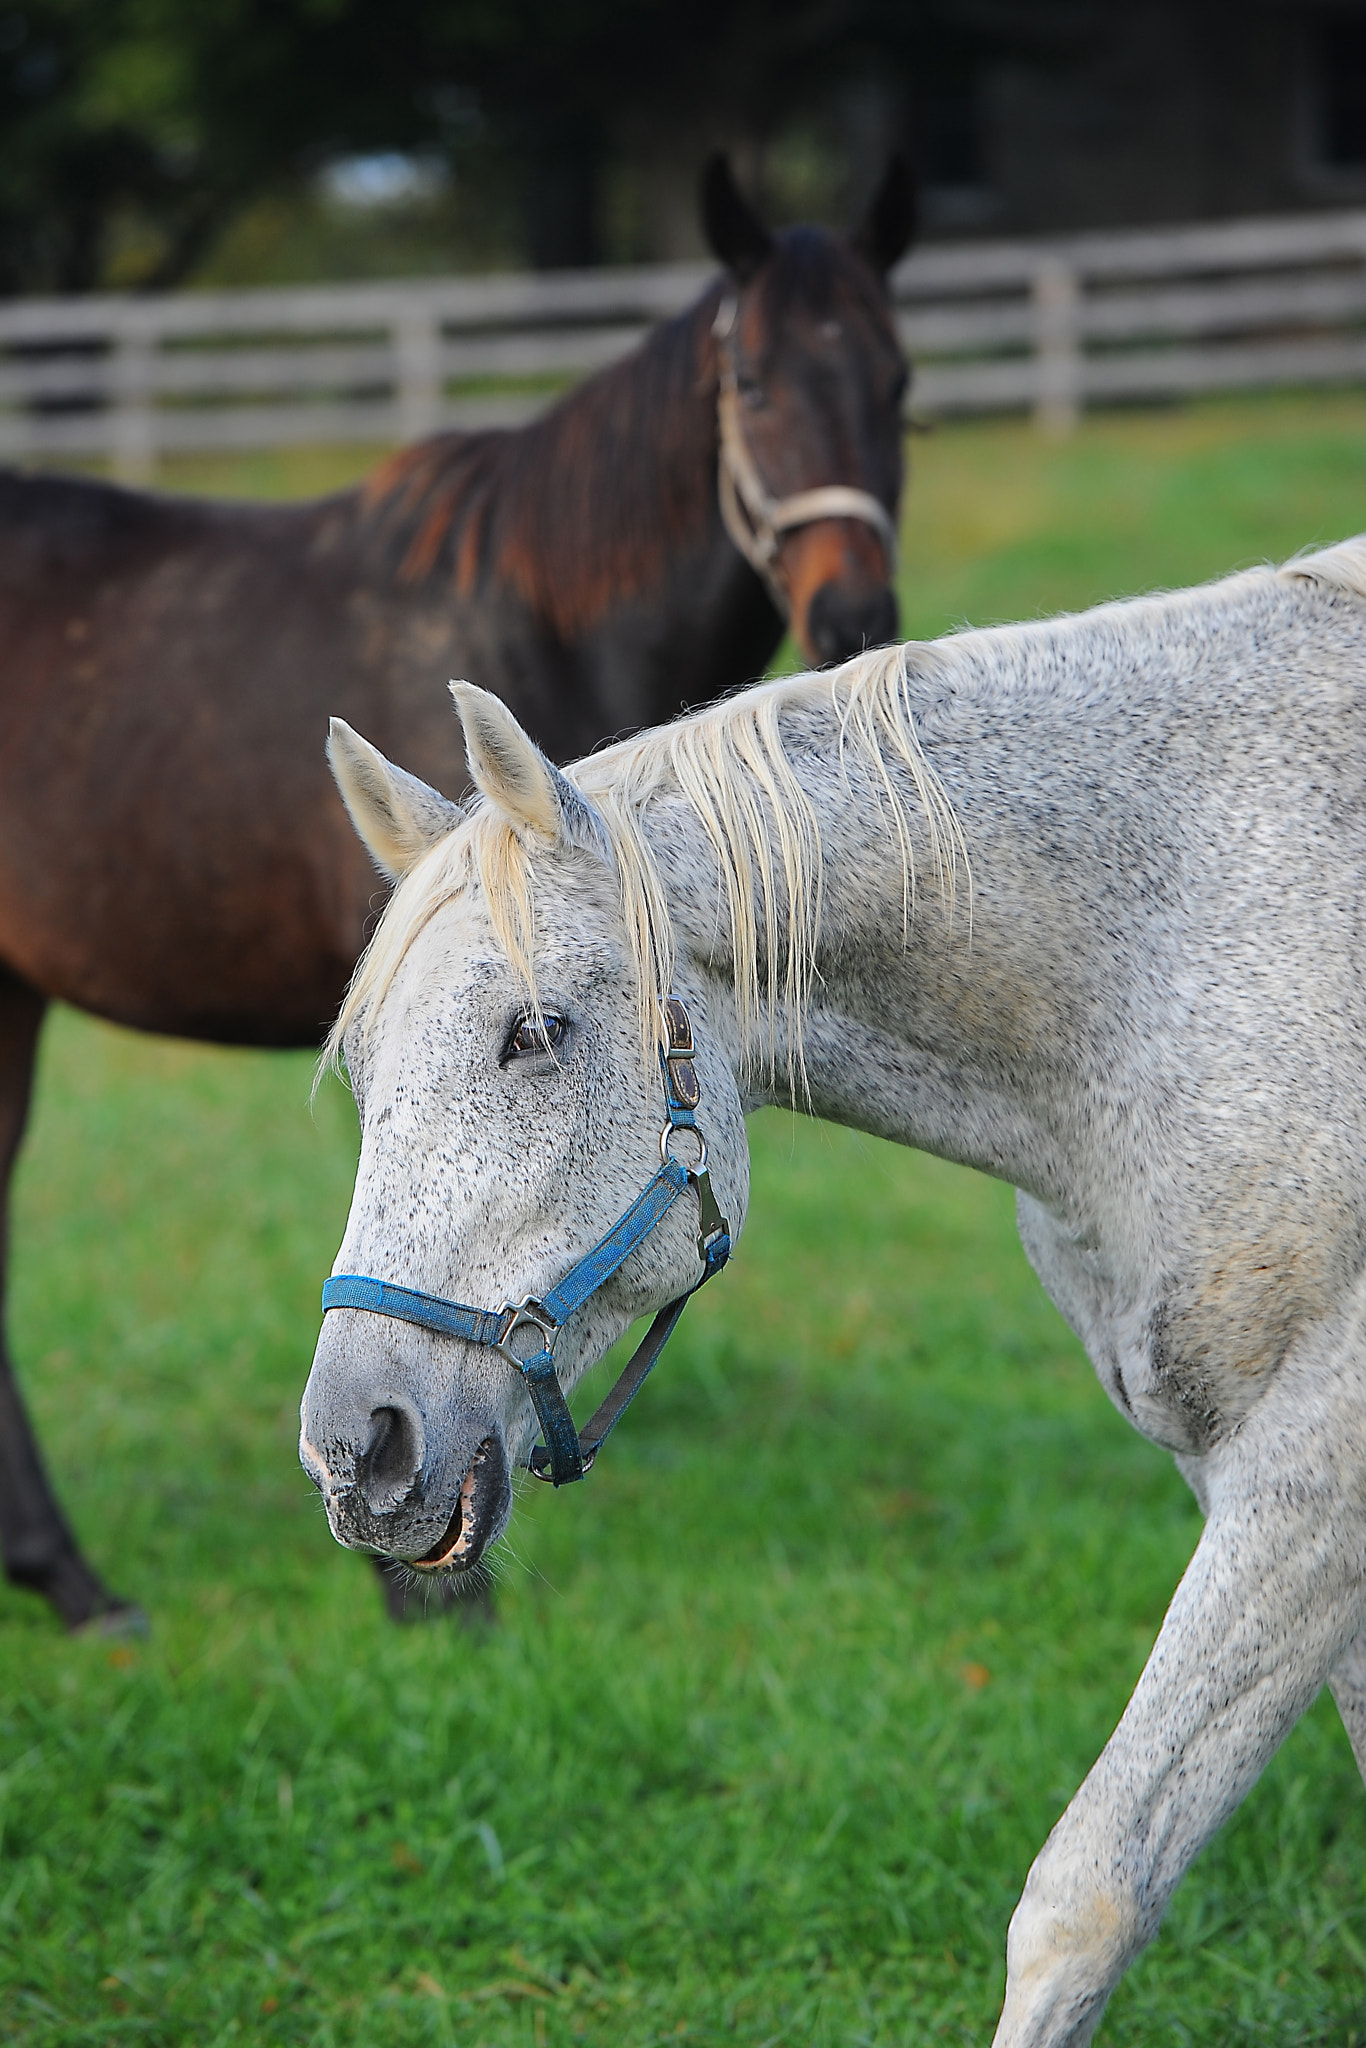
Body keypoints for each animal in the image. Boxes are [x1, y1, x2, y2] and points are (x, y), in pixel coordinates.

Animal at [303, 537, 1366, 2044]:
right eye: (361, 1068)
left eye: (535, 1032)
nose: (356, 1446)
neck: (1186, 942)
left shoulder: (1308, 1481)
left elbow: (1084, 1894)